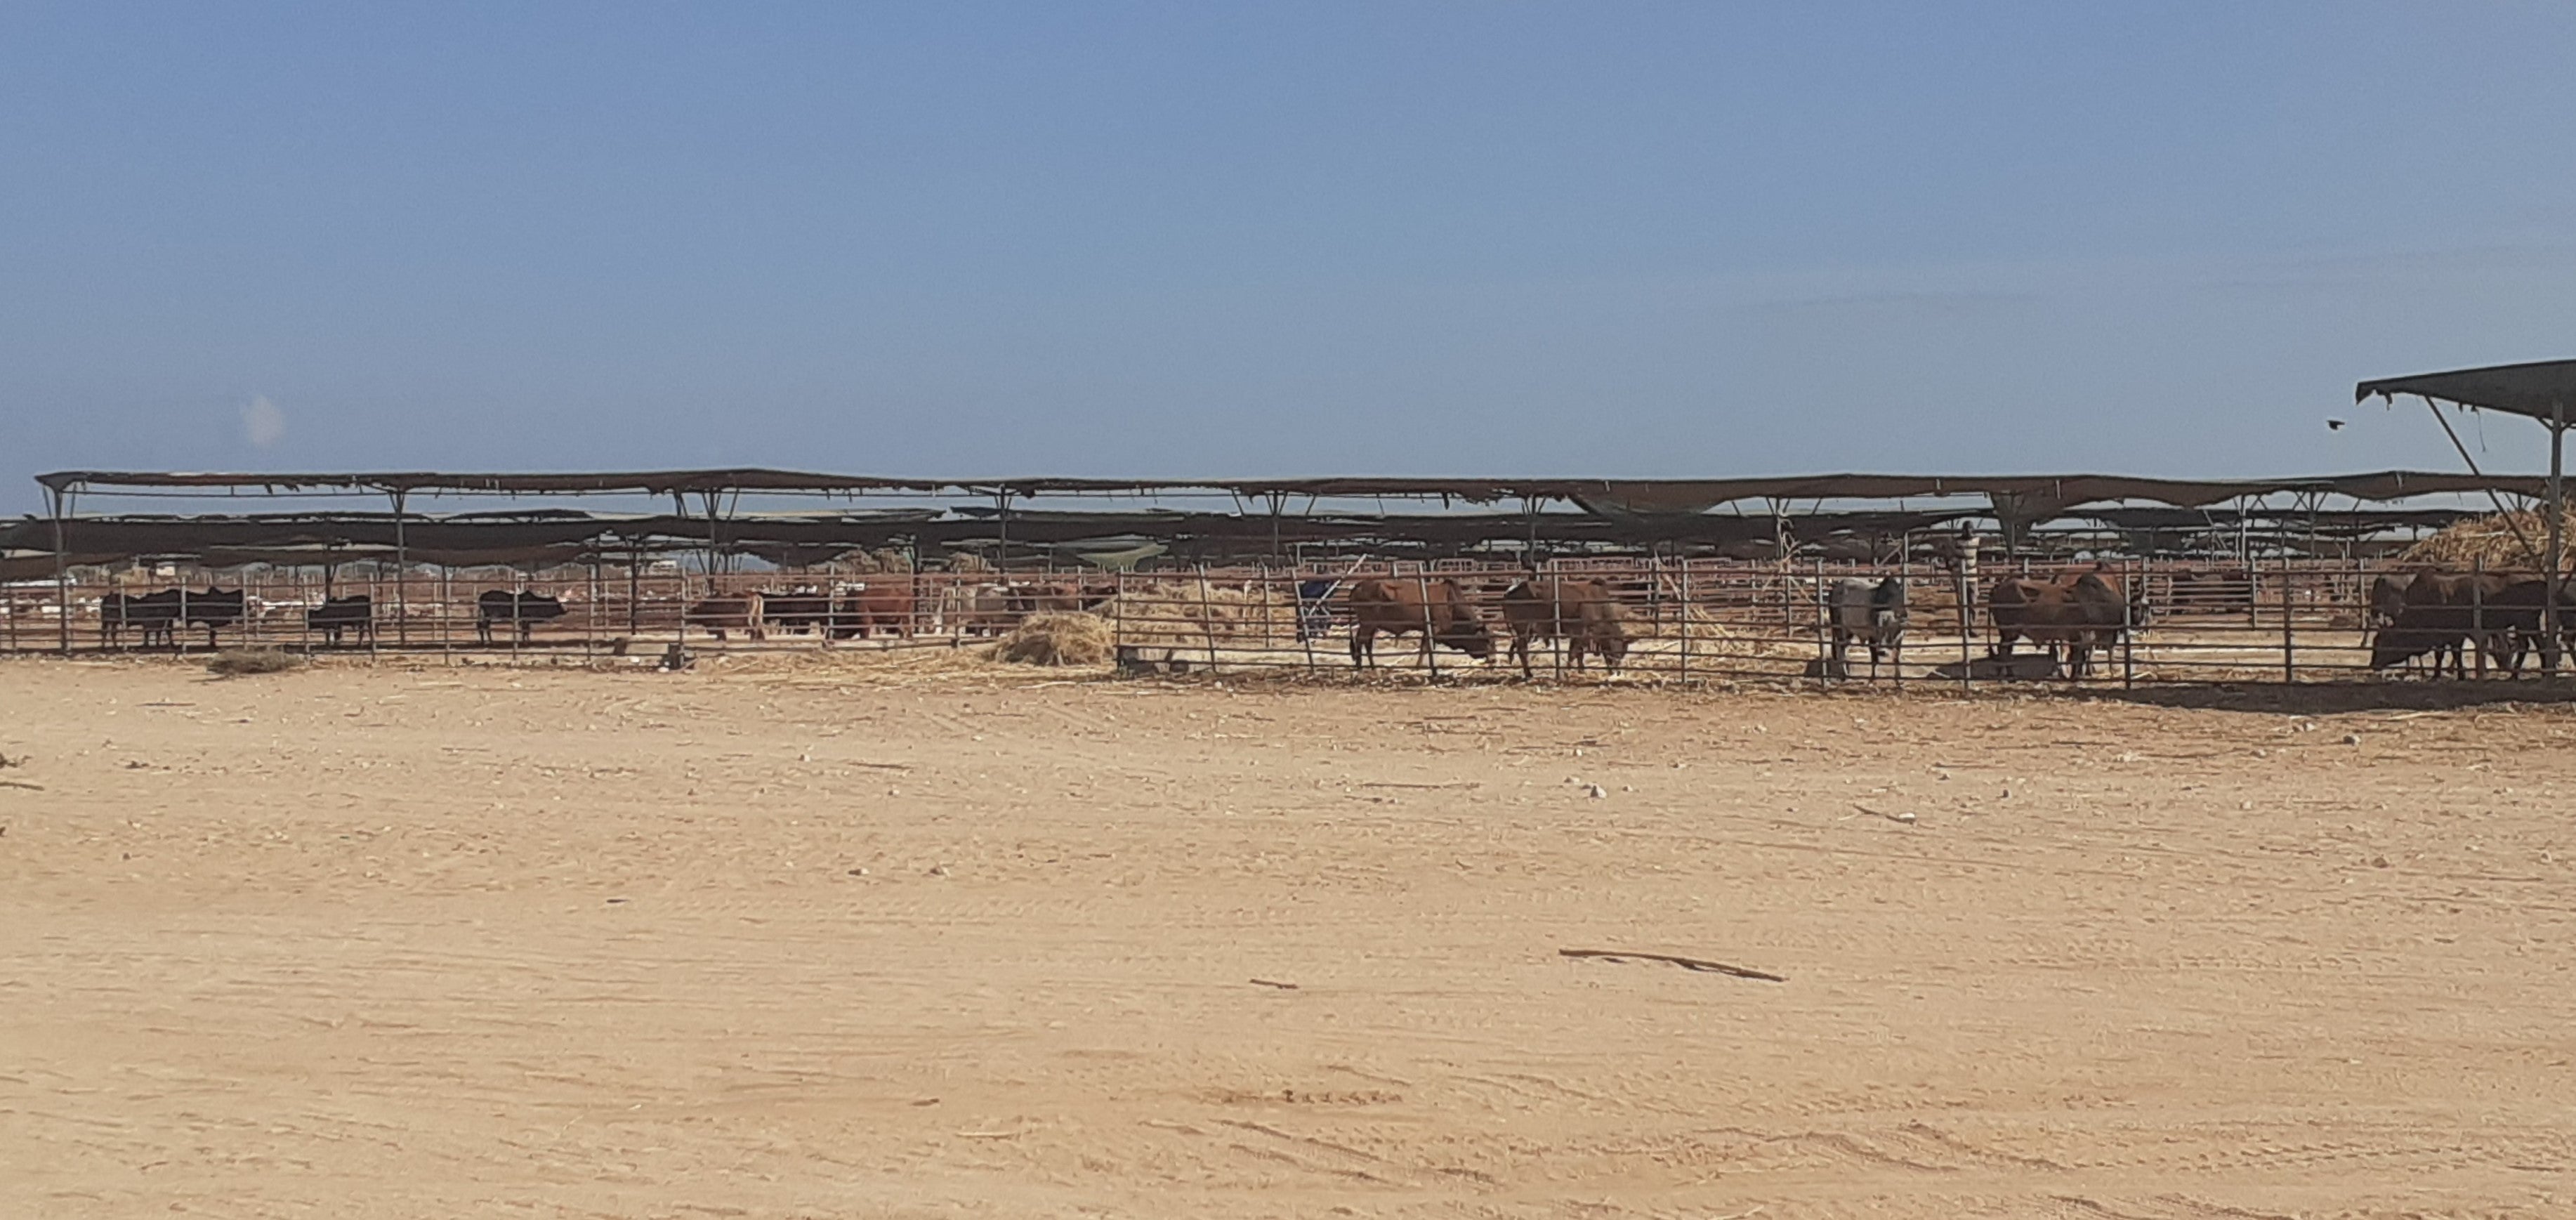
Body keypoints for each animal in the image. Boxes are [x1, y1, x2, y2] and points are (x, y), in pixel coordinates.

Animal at [1350, 579, 1494, 674]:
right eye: (1487, 640)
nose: (1493, 659)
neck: (1451, 604)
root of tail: (1359, 585)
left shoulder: (1427, 630)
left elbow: (1424, 647)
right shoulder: (1435, 628)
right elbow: (1426, 648)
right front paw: (1419, 668)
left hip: (1370, 625)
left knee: (1366, 643)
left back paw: (1372, 667)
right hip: (1368, 624)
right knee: (1361, 641)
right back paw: (1360, 667)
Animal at [1494, 579, 1628, 679]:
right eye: (1614, 652)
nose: (1617, 672)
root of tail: (1508, 594)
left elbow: (1579, 653)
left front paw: (1581, 671)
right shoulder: (1580, 632)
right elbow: (1573, 654)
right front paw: (1567, 671)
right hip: (1523, 629)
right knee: (1522, 650)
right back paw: (1529, 674)